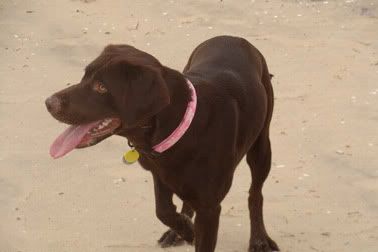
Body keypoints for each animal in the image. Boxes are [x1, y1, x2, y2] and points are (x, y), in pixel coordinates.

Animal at [45, 36, 280, 252]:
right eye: (85, 76)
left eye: (101, 87)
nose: (48, 103)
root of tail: (233, 38)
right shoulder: (159, 173)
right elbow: (163, 210)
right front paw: (185, 229)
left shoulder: (209, 208)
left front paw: (189, 230)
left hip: (261, 148)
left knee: (255, 194)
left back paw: (259, 240)